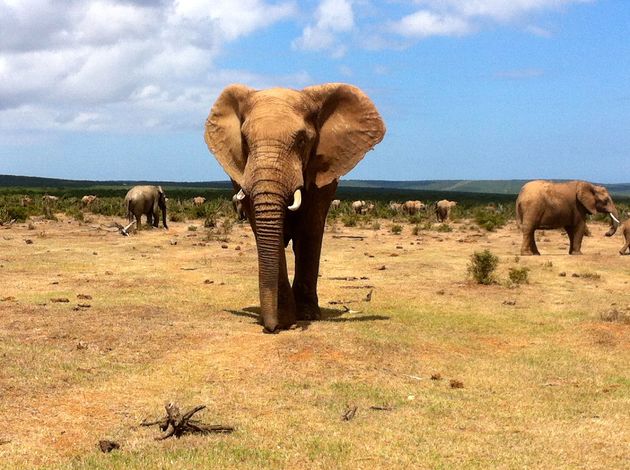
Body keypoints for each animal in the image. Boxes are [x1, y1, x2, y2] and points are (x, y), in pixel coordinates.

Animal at [206, 82, 386, 332]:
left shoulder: (320, 173)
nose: (270, 328)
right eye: (245, 141)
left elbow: (310, 230)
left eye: (302, 141)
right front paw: (284, 319)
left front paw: (306, 316)